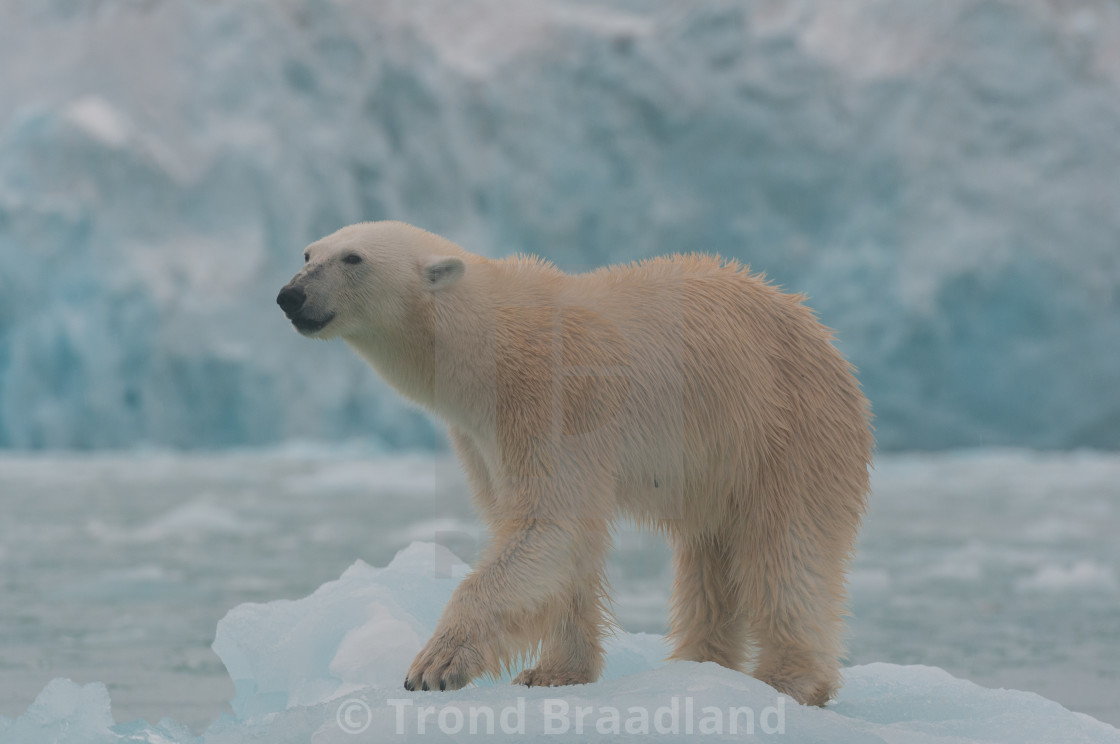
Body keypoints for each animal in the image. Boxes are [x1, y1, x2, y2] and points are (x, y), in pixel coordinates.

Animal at [275, 219, 869, 703]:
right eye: (307, 252)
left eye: (353, 258)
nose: (289, 295)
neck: (490, 345)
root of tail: (824, 337)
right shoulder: (483, 439)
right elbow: (552, 542)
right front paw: (553, 672)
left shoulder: (552, 402)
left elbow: (549, 524)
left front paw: (435, 665)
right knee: (710, 561)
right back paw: (700, 664)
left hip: (783, 430)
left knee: (785, 551)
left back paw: (789, 680)